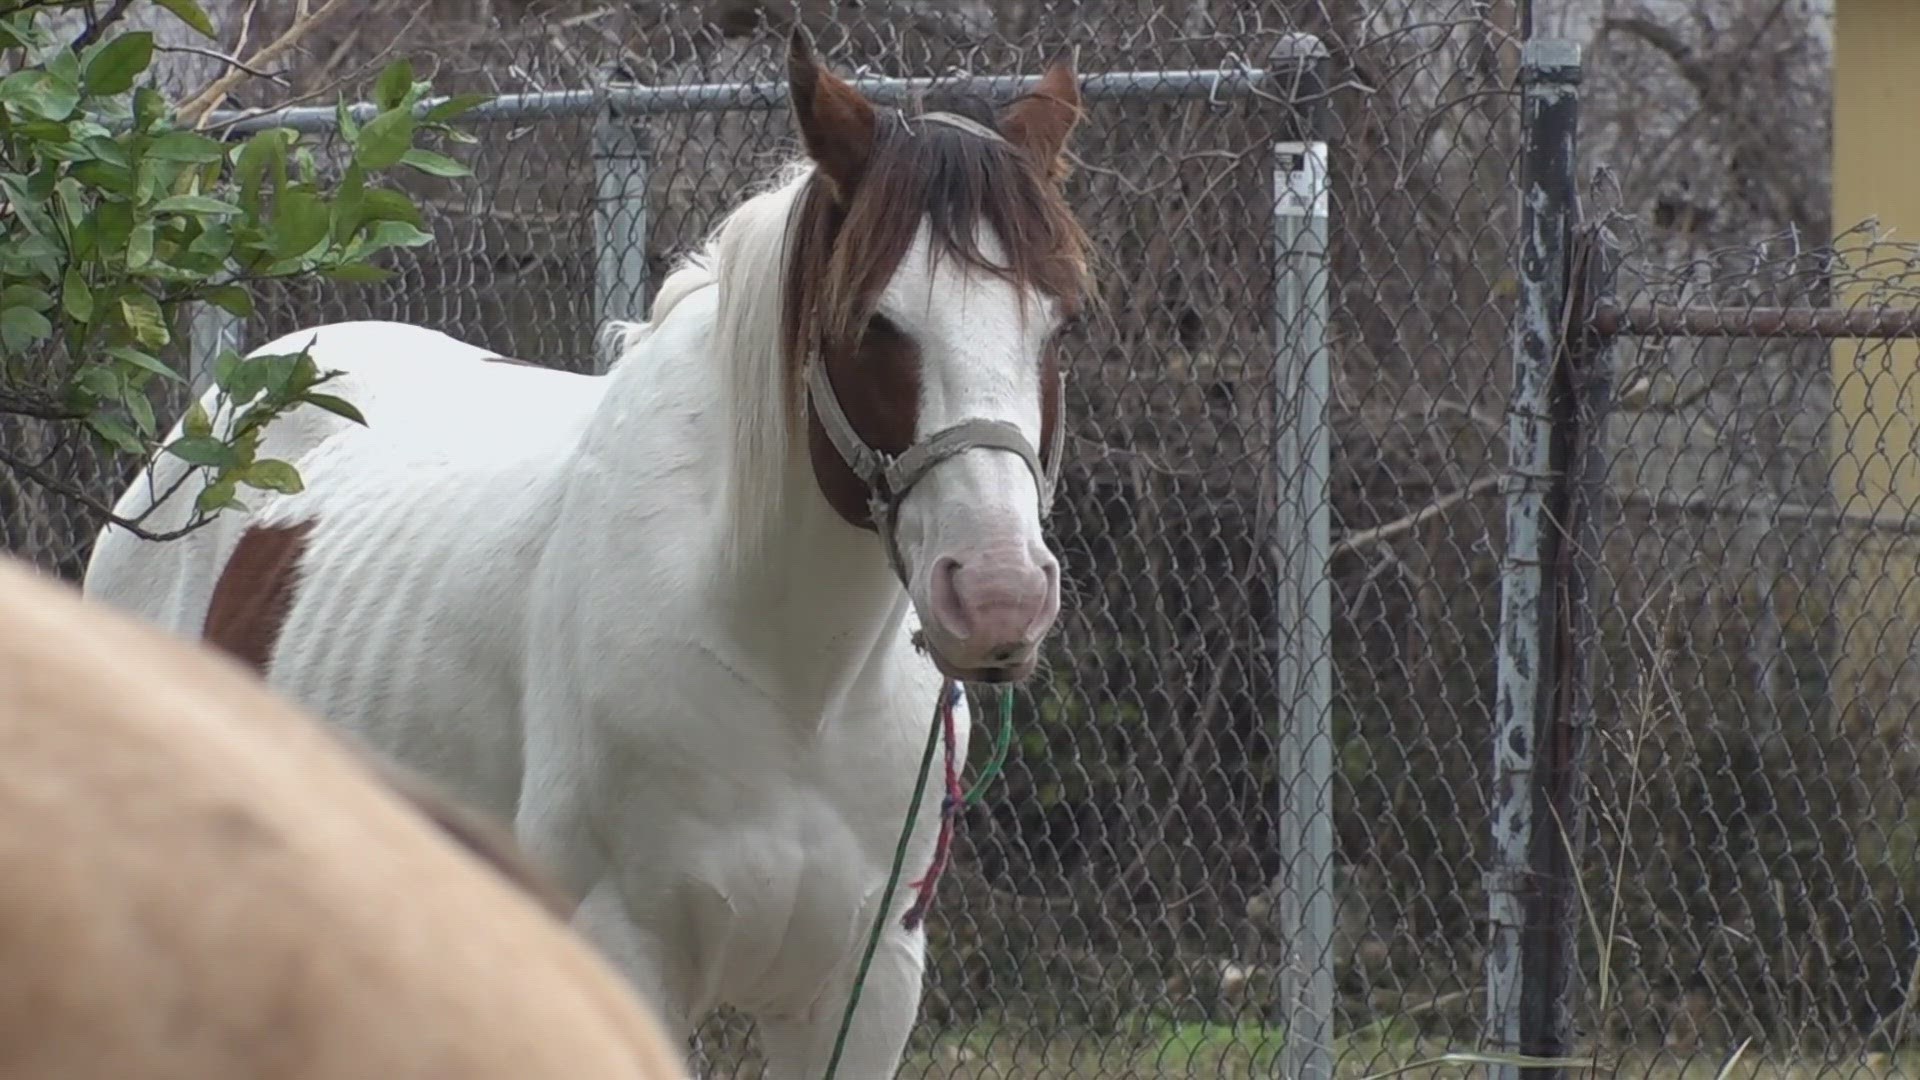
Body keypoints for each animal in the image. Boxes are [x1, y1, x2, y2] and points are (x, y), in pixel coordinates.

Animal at [81, 28, 1092, 1078]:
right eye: (874, 323)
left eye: (1063, 323)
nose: (999, 596)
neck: (792, 681)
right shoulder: (624, 952)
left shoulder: (866, 987)